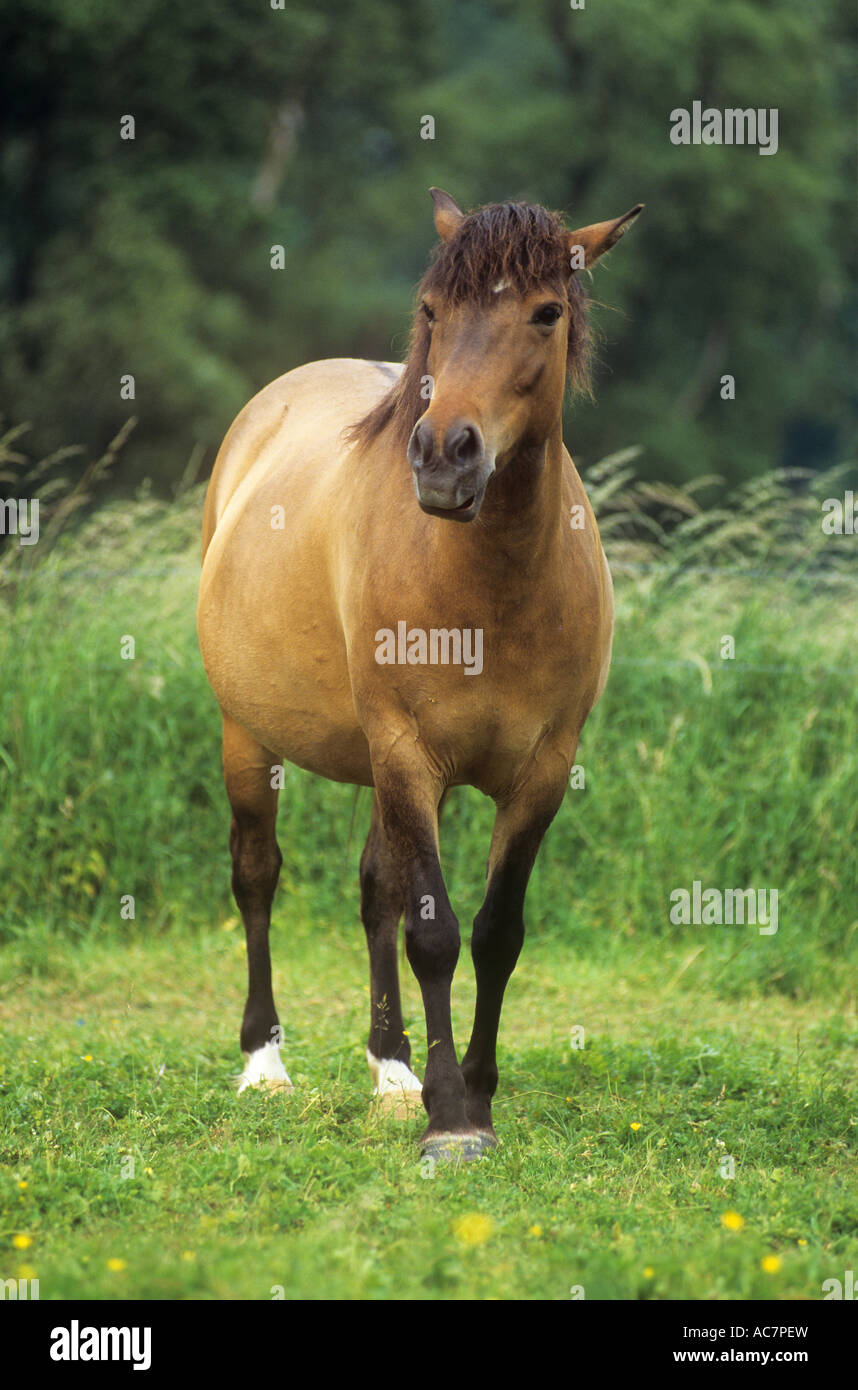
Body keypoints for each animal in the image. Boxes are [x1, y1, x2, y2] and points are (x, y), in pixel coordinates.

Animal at [197, 187, 639, 1162]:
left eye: (546, 313)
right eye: (435, 311)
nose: (443, 457)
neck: (489, 586)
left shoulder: (543, 771)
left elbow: (495, 931)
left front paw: (469, 1093)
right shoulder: (408, 753)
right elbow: (433, 932)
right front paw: (450, 1118)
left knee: (376, 893)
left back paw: (389, 1070)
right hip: (250, 736)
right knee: (257, 875)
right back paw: (264, 1065)